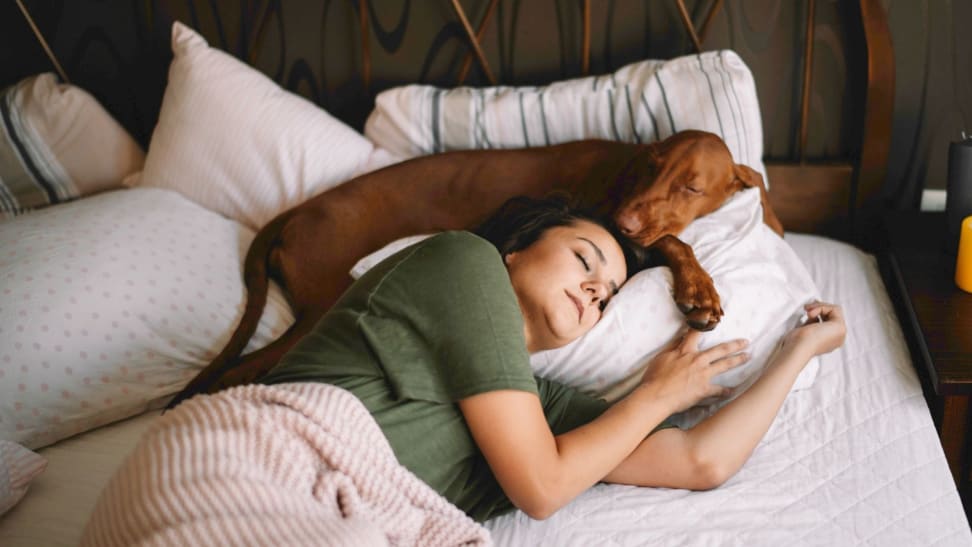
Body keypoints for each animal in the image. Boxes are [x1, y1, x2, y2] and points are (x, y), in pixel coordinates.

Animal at [169, 131, 784, 408]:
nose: (625, 220)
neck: (622, 170)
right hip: (320, 308)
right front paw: (699, 289)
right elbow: (675, 241)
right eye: (652, 166)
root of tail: (298, 210)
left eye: (691, 187)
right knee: (239, 370)